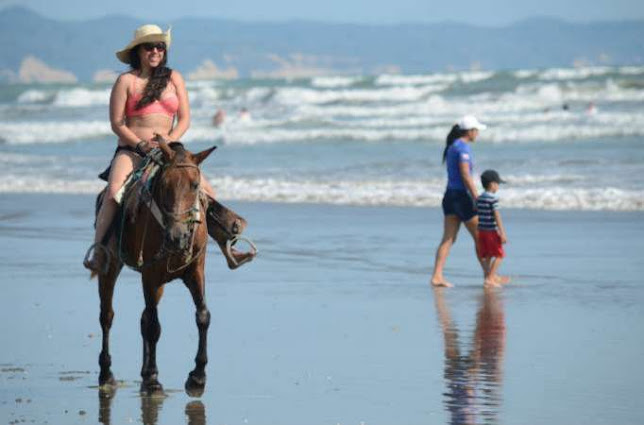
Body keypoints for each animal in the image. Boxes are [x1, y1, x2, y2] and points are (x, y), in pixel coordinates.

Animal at [94, 137, 245, 396]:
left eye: (195, 185)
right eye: (164, 185)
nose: (178, 236)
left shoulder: (195, 271)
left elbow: (202, 316)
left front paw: (197, 377)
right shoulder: (149, 274)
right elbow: (154, 327)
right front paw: (154, 380)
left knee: (143, 318)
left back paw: (143, 373)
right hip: (111, 266)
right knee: (107, 316)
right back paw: (107, 375)